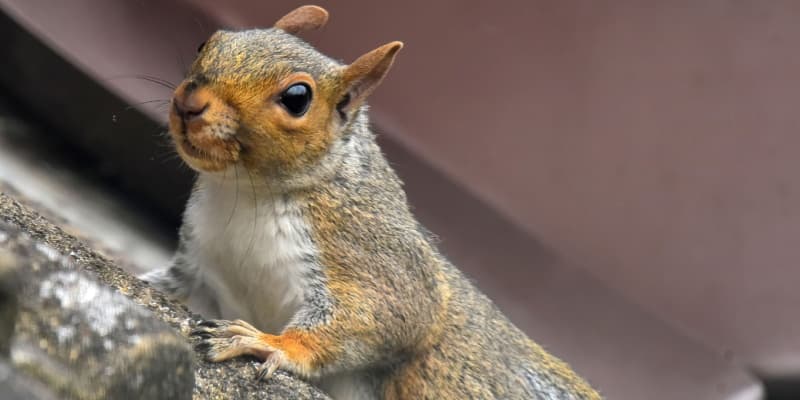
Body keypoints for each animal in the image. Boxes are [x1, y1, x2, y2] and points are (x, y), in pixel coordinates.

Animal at [141, 5, 601, 400]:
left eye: (297, 97)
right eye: (209, 42)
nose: (188, 103)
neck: (246, 192)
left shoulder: (370, 252)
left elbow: (385, 317)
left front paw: (269, 343)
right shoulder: (201, 265)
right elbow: (172, 285)